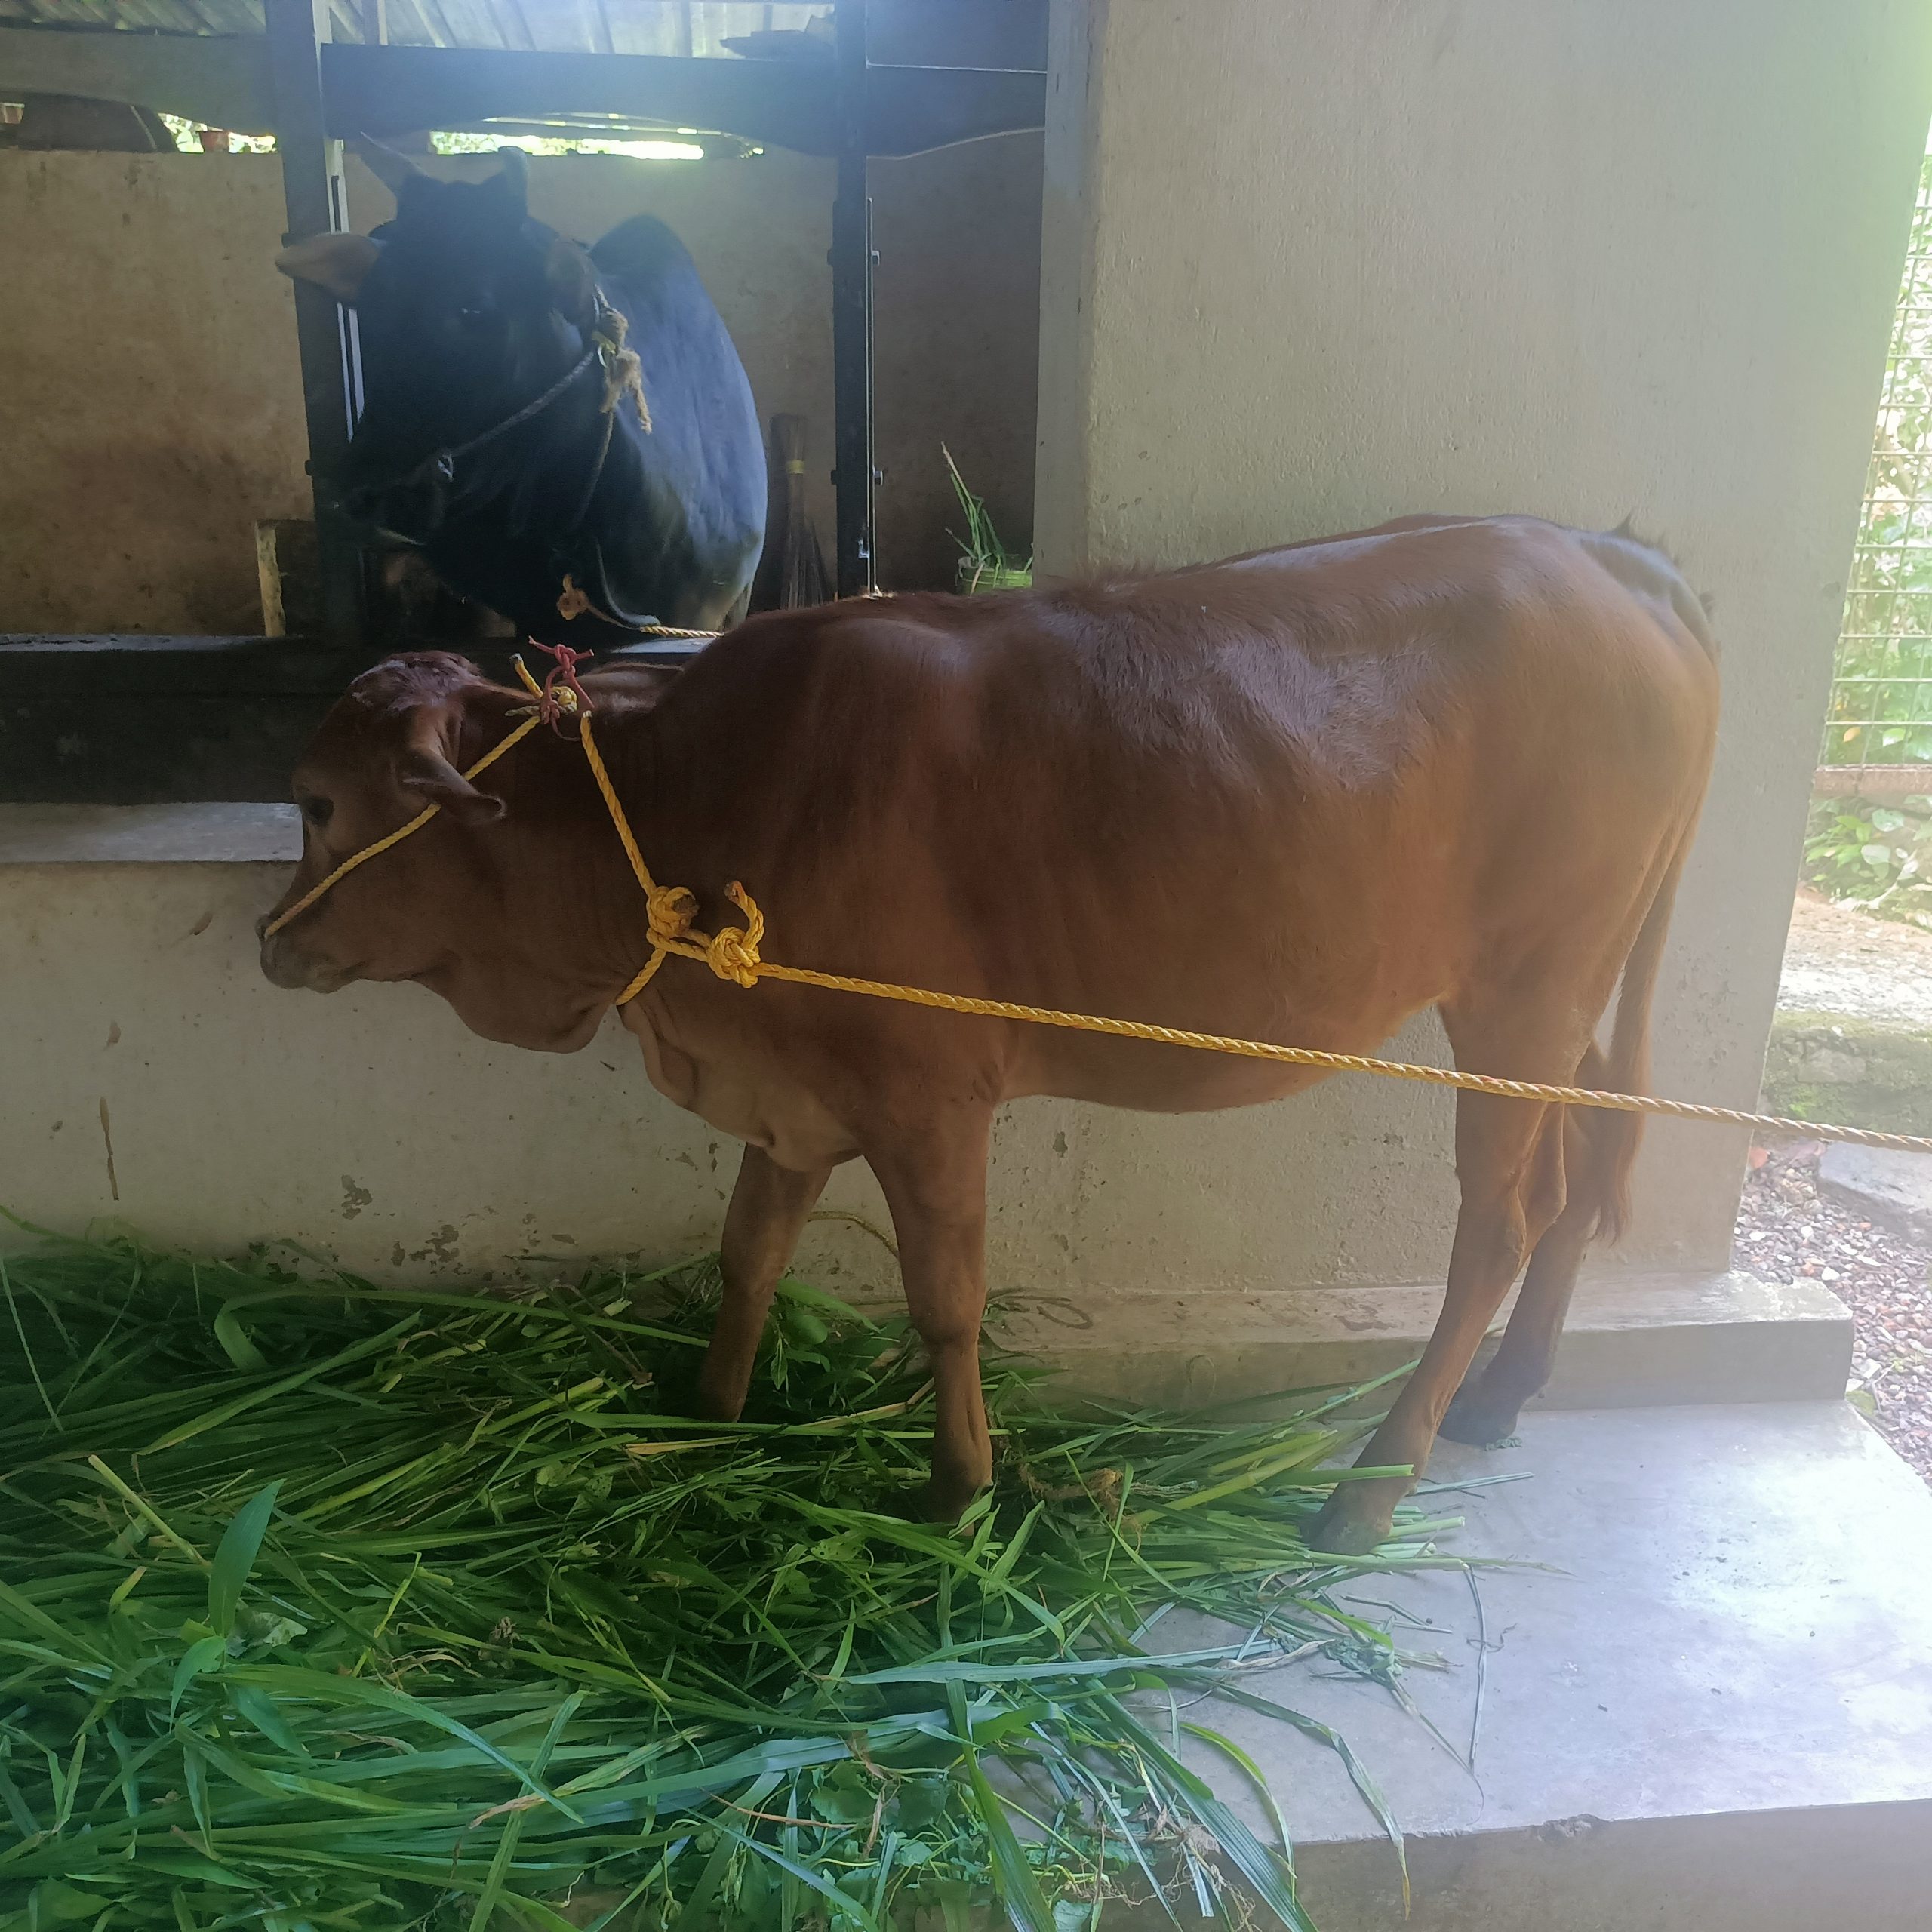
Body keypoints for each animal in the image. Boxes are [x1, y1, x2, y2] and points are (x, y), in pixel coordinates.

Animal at [257, 515, 1720, 1555]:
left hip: (1524, 991)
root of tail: (1612, 553)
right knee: (1586, 1165)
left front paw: (958, 1486)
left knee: (1499, 1224)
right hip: (1561, 1003)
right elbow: (748, 1252)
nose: (270, 940)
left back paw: (1372, 1485)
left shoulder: (927, 1095)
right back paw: (1503, 1394)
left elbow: (946, 1300)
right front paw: (710, 1409)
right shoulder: (793, 1087)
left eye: (319, 803)